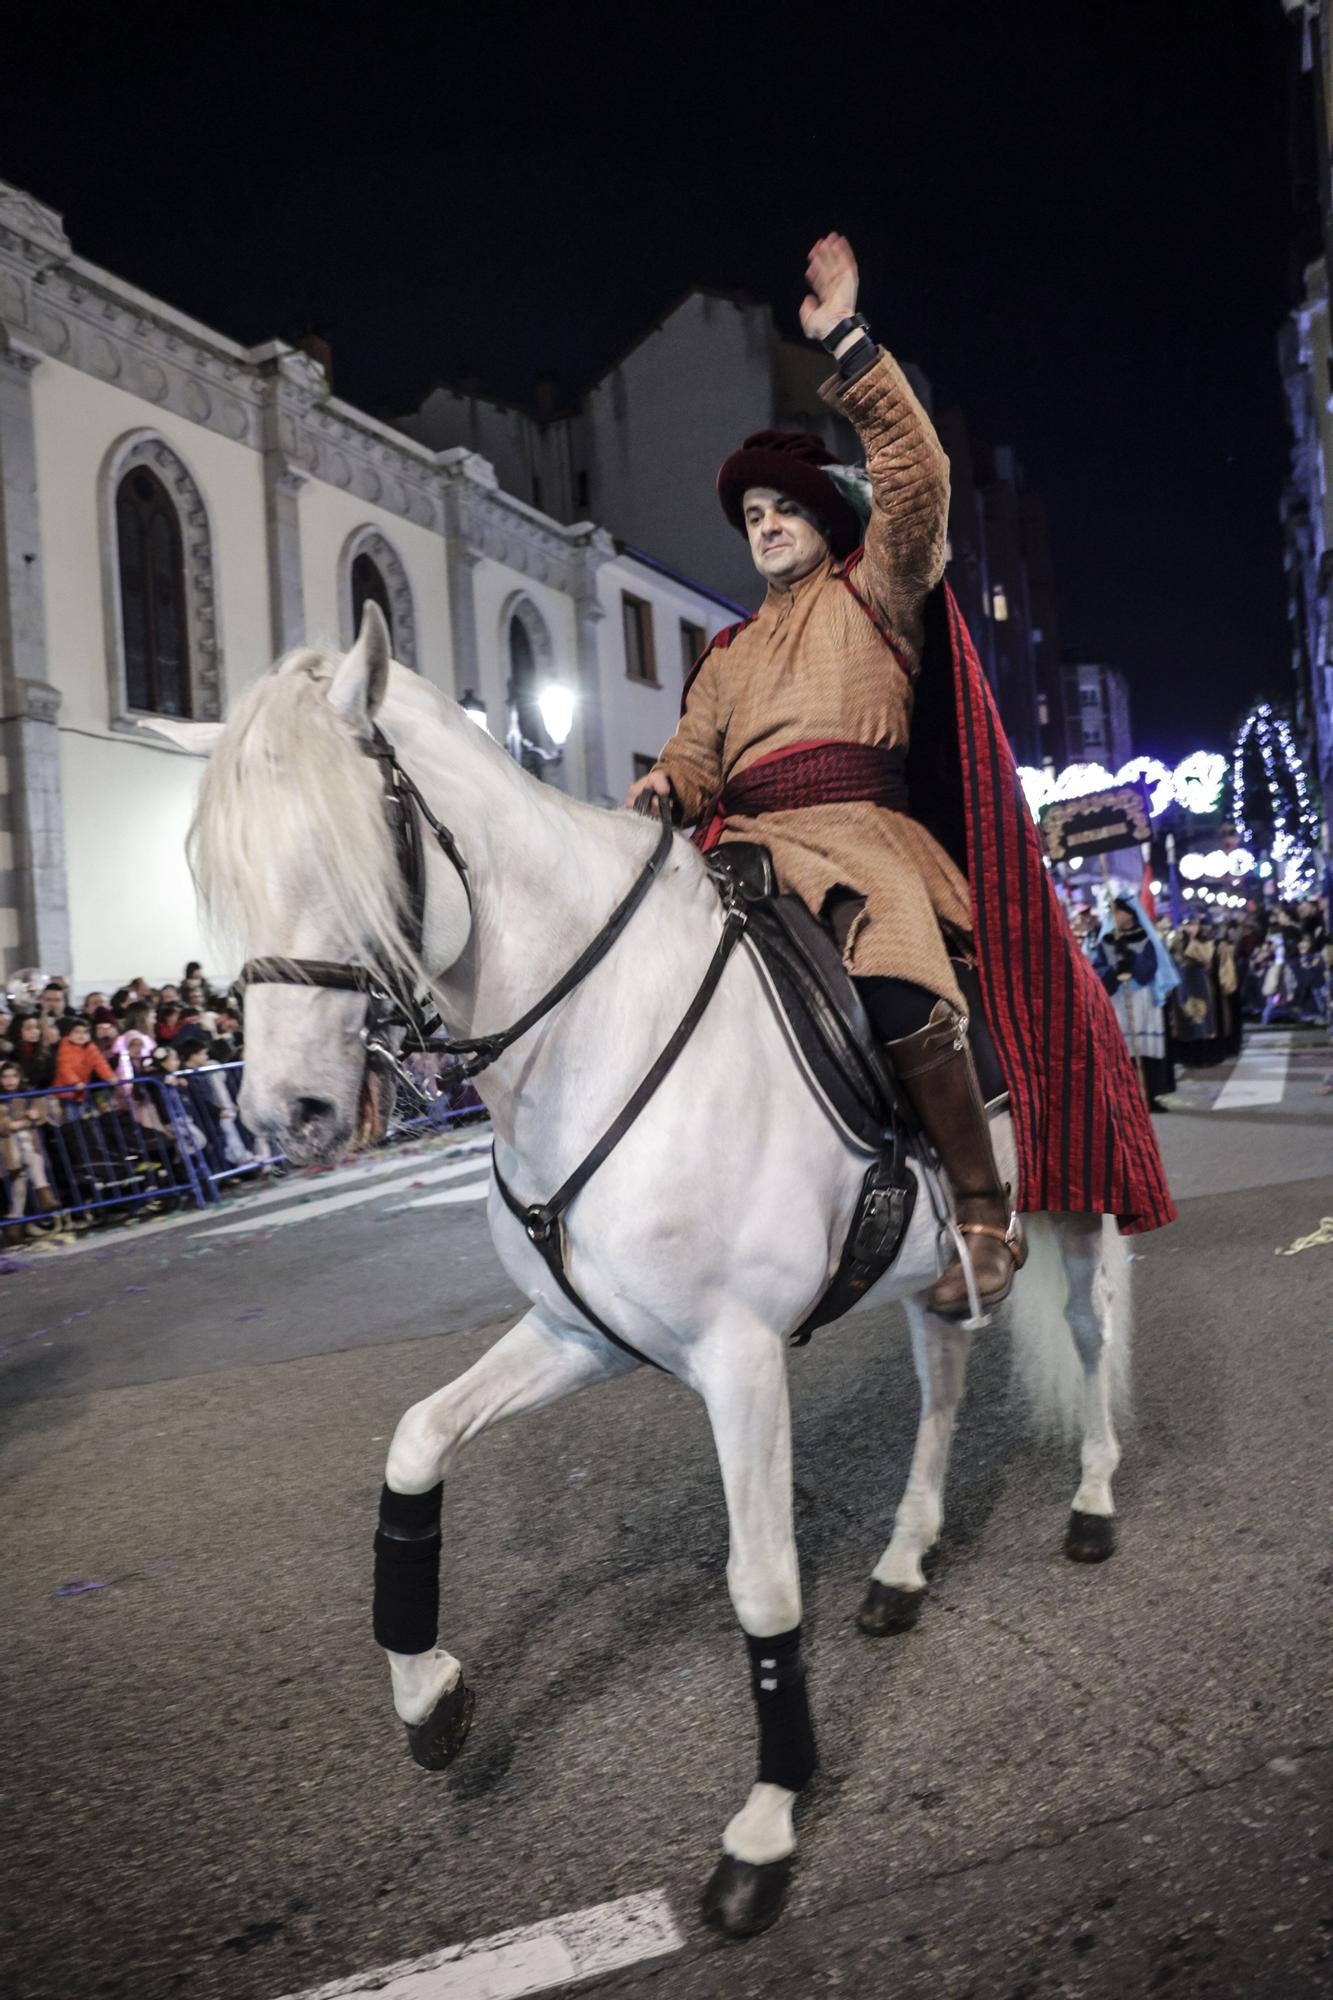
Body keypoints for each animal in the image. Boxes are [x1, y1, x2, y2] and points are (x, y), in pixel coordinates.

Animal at [171, 608, 1128, 1936]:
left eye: (353, 847)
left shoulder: (740, 1356)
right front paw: (428, 1691)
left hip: (1079, 1201)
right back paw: (902, 1562)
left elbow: (763, 1586)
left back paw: (1090, 1501)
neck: (589, 1032)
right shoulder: (583, 1332)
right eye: (222, 872)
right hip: (928, 1266)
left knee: (1089, 1335)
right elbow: (415, 1444)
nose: (283, 1114)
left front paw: (765, 1826)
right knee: (943, 1375)